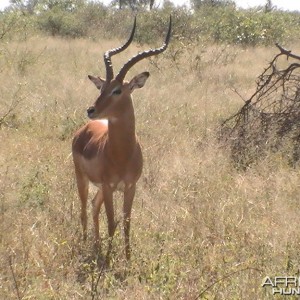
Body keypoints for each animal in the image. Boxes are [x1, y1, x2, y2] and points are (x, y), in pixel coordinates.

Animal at [71, 16, 172, 260]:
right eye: (102, 87)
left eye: (117, 90)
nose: (91, 110)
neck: (122, 153)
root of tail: (83, 129)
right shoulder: (109, 186)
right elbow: (111, 222)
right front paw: (109, 260)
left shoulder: (129, 186)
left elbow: (126, 223)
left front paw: (126, 259)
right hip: (82, 179)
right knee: (84, 210)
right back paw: (87, 244)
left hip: (99, 188)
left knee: (93, 207)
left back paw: (97, 246)